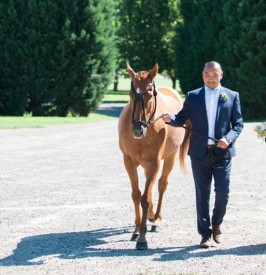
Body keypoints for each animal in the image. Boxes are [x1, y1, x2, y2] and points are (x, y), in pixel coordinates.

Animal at [118, 63, 189, 251]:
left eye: (149, 94)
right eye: (130, 95)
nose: (137, 129)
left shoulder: (154, 163)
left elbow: (145, 197)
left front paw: (142, 238)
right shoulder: (129, 162)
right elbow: (137, 195)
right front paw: (136, 230)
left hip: (169, 158)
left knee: (161, 185)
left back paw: (156, 219)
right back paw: (150, 216)